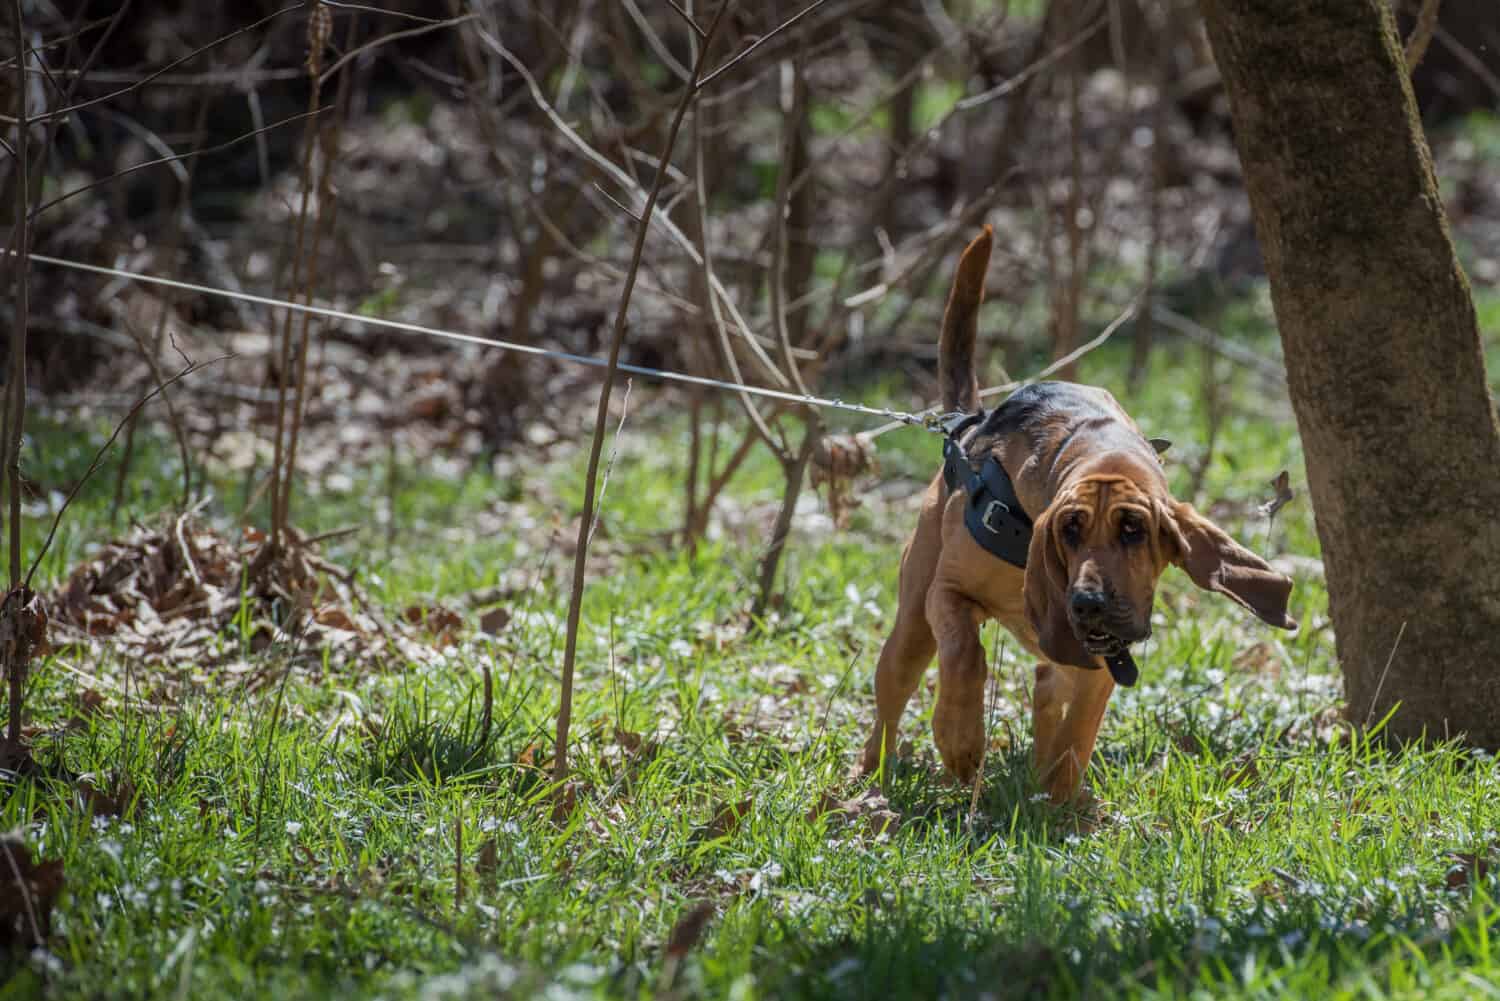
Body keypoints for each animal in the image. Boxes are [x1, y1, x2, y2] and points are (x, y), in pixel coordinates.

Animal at [864, 223, 1296, 804]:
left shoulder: (1104, 655)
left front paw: (1061, 798)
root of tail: (967, 423)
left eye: (1134, 531)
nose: (1088, 603)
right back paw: (870, 778)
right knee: (895, 695)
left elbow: (1079, 726)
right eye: (1069, 531)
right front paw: (960, 741)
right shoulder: (948, 592)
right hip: (912, 623)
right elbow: (964, 656)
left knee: (1050, 689)